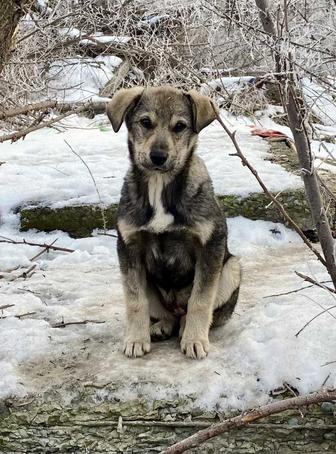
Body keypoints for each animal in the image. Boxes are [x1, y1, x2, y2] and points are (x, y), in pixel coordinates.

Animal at [106, 87, 240, 360]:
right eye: (145, 122)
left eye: (180, 126)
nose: (158, 157)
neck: (159, 187)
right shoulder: (129, 248)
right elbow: (135, 301)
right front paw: (135, 339)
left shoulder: (210, 246)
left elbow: (201, 299)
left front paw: (195, 340)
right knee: (166, 314)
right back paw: (162, 326)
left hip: (233, 268)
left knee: (193, 311)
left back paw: (186, 328)